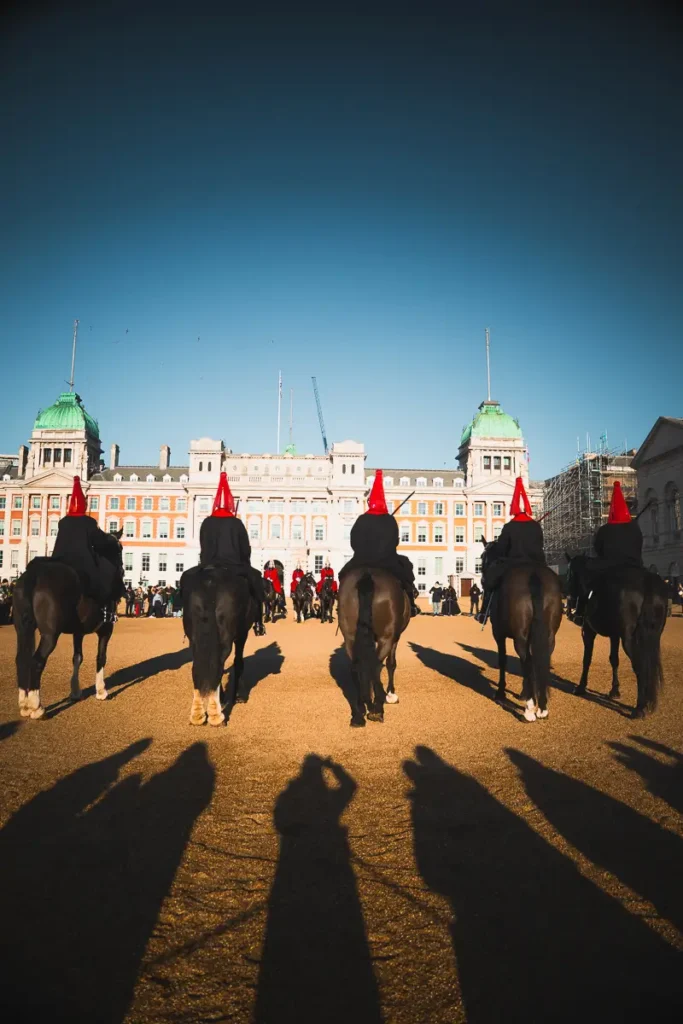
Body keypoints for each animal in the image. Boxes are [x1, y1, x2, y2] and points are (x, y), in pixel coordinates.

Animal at [12, 530, 124, 719]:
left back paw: (24, 704)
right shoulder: (106, 630)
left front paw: (75, 692)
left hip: (23, 629)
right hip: (50, 635)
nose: (123, 570)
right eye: (119, 549)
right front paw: (101, 691)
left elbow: (77, 657)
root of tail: (34, 573)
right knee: (36, 661)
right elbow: (101, 657)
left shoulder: (78, 632)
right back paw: (36, 706)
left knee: (22, 660)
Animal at [183, 566, 257, 726]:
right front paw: (239, 695)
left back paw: (197, 715)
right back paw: (216, 716)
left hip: (195, 639)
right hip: (226, 638)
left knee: (198, 668)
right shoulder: (242, 634)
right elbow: (238, 662)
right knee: (218, 665)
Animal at [337, 568, 411, 727]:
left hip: (350, 638)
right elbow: (391, 664)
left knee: (356, 667)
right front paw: (390, 694)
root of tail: (367, 574)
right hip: (386, 638)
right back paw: (377, 709)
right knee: (375, 666)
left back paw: (359, 712)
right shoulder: (395, 638)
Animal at [481, 539, 563, 721]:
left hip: (520, 638)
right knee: (541, 661)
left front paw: (501, 693)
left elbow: (503, 660)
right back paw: (542, 706)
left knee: (526, 661)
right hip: (549, 637)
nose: (482, 579)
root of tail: (534, 574)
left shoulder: (498, 634)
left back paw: (530, 708)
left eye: (483, 557)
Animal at [565, 554, 668, 717]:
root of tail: (648, 581)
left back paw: (640, 707)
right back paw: (647, 702)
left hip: (630, 641)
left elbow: (586, 659)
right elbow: (614, 660)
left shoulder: (588, 632)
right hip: (653, 638)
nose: (569, 602)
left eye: (569, 574)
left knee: (640, 666)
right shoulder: (614, 635)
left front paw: (581, 687)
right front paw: (615, 690)